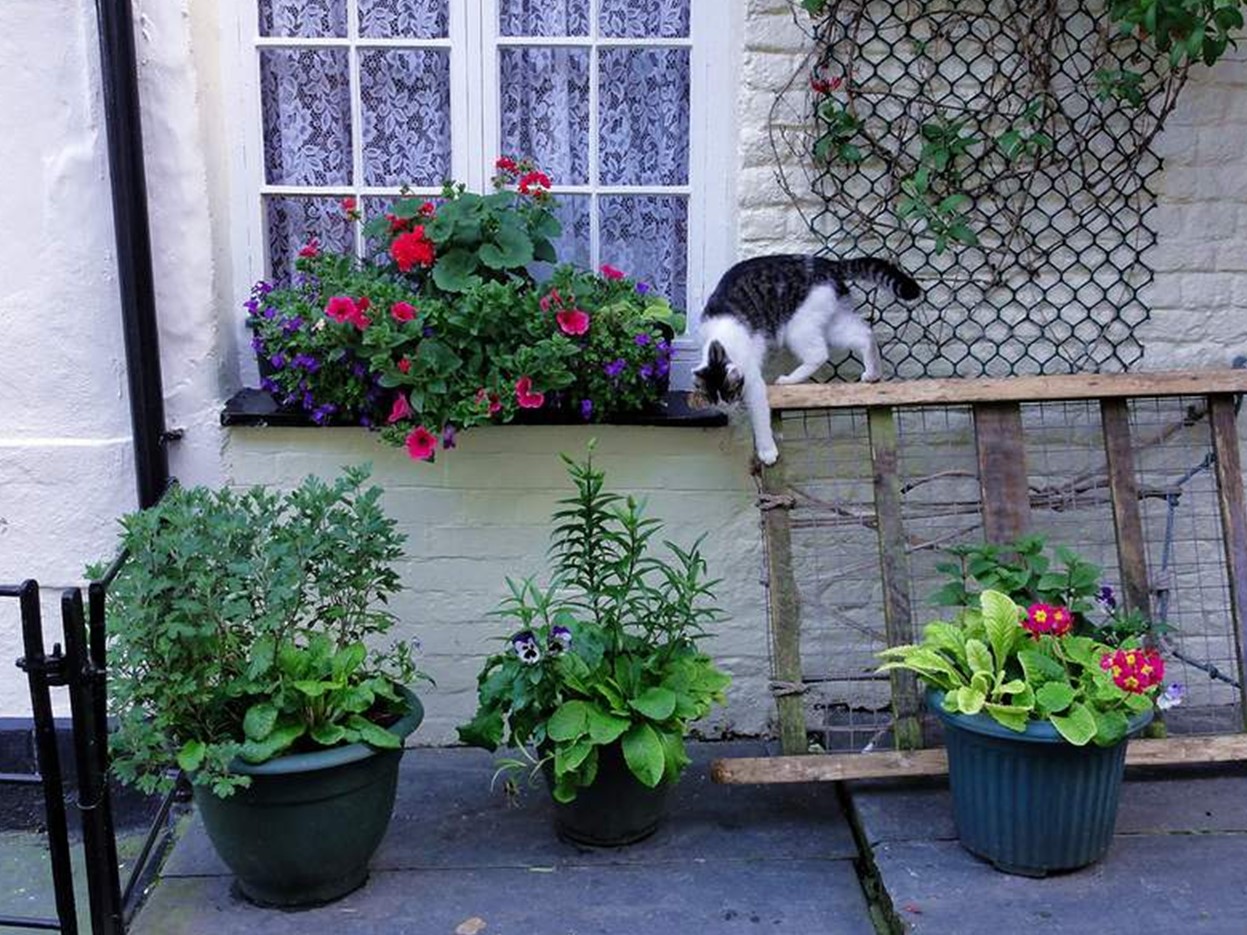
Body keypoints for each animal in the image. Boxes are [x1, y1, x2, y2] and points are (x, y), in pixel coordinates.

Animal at [691, 255, 921, 466]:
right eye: (711, 397)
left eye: (729, 393)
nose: (724, 407)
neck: (718, 343)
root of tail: (828, 264)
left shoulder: (754, 382)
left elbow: (760, 418)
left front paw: (767, 451)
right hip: (832, 323)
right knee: (865, 335)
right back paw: (873, 374)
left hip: (798, 327)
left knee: (819, 354)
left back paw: (789, 380)